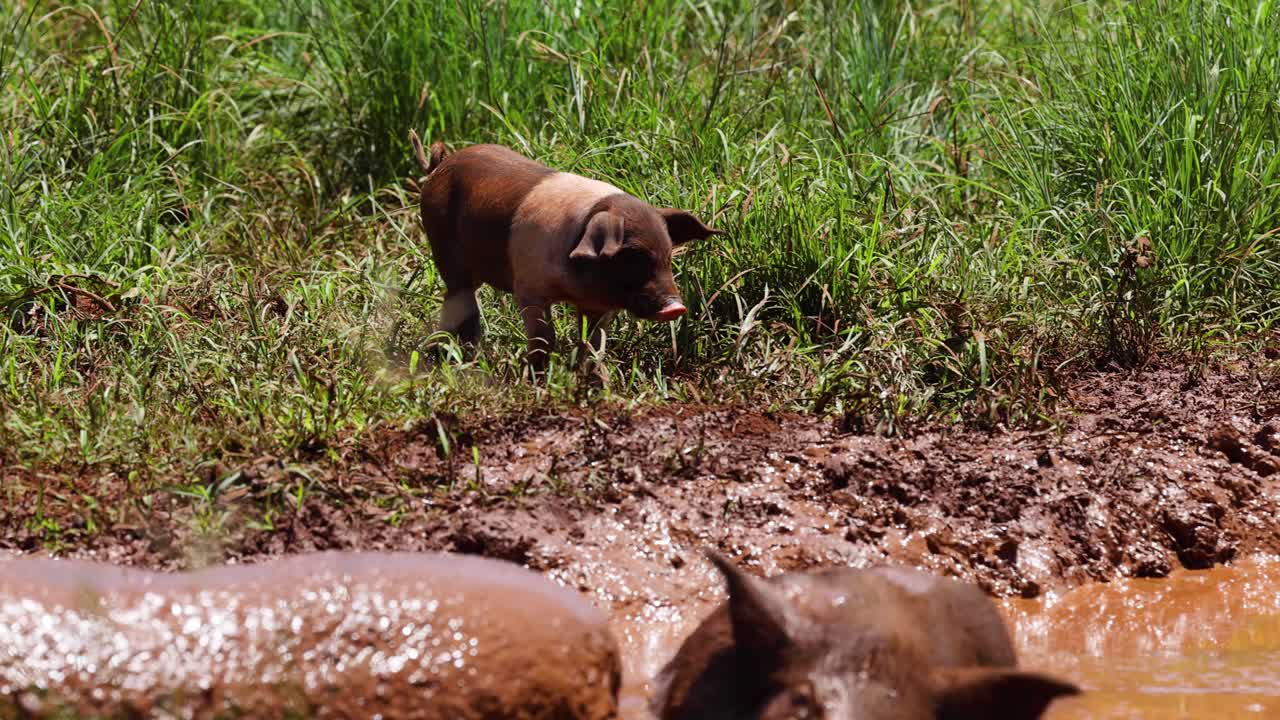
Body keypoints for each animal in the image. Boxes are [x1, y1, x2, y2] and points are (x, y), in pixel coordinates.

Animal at [408, 130, 723, 372]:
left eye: (668, 254)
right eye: (632, 256)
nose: (676, 307)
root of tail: (441, 165)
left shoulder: (598, 306)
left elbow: (593, 343)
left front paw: (593, 378)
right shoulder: (529, 287)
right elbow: (545, 337)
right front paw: (537, 378)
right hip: (443, 245)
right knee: (463, 304)